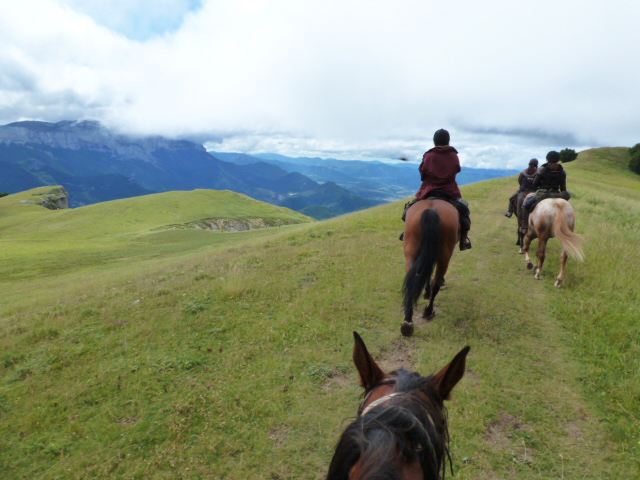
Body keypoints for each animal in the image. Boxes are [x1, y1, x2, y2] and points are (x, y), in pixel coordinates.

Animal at [400, 197, 460, 336]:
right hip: (445, 256)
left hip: (411, 251)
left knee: (414, 277)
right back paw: (428, 311)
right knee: (436, 282)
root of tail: (431, 210)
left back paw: (407, 321)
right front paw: (427, 292)